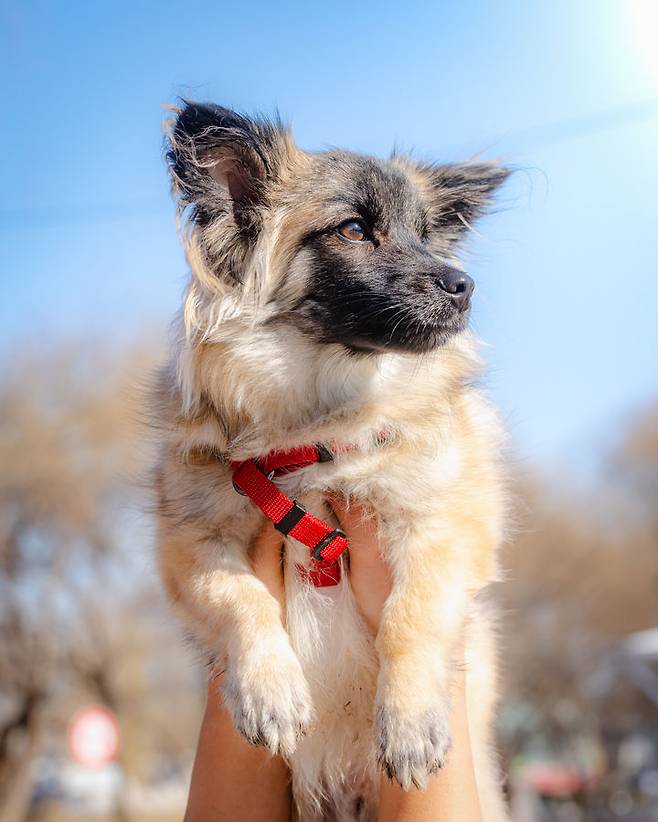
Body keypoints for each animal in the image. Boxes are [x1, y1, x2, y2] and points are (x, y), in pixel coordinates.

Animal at [152, 103, 508, 822]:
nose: (465, 286)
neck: (319, 422)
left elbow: (409, 615)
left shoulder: (445, 527)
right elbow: (241, 598)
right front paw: (269, 692)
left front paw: (410, 722)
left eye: (427, 237)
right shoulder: (190, 548)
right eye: (353, 230)